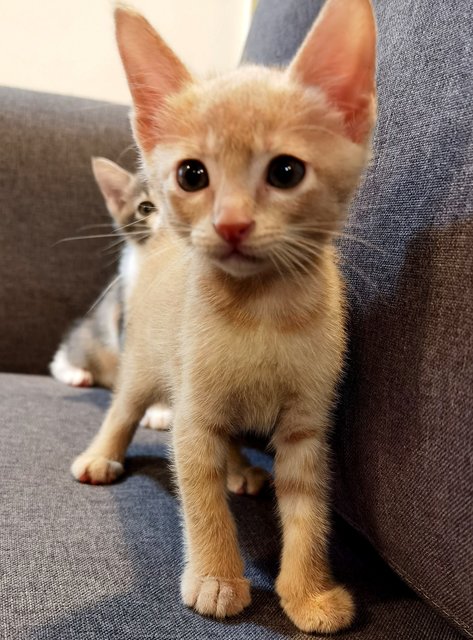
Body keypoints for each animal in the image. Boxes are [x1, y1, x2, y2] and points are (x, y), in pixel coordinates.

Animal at [71, 0, 376, 632]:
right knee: (126, 405)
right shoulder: (193, 411)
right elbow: (201, 498)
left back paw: (240, 467)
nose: (231, 223)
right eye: (193, 175)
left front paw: (308, 591)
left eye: (286, 172)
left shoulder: (307, 424)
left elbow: (308, 507)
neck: (263, 312)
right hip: (148, 362)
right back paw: (102, 454)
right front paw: (216, 577)